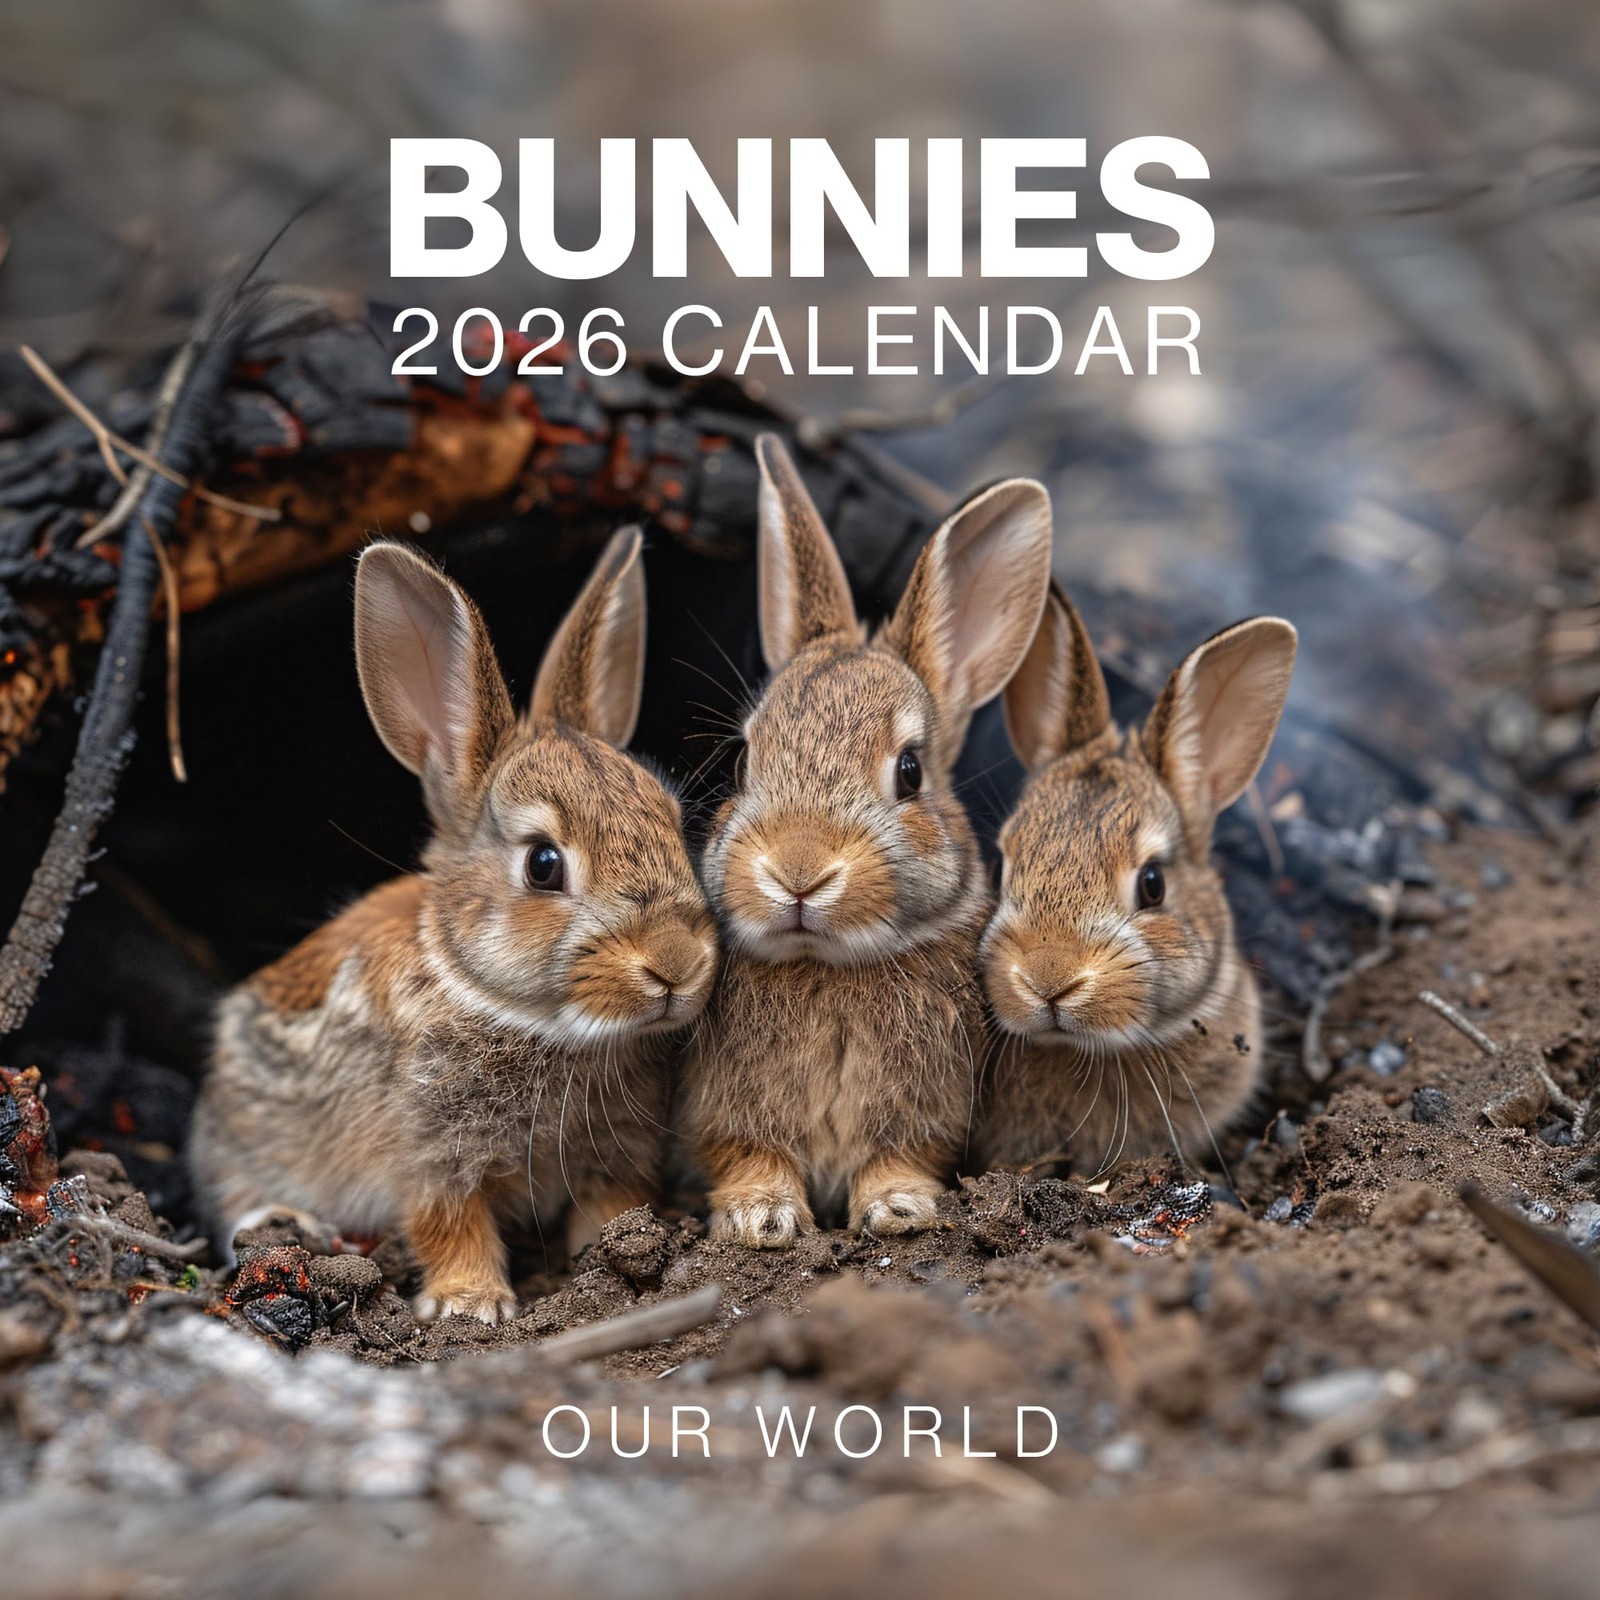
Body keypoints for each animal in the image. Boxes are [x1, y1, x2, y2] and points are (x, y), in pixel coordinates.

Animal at [189, 527, 718, 1323]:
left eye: (674, 823)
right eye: (543, 865)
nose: (676, 965)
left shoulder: (614, 1149)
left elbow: (612, 1207)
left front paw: (616, 1260)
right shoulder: (434, 1156)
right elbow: (449, 1223)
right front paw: (472, 1306)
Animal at [681, 434, 1054, 1247]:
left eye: (909, 771)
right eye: (743, 761)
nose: (798, 871)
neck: (828, 965)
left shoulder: (925, 1112)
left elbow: (899, 1158)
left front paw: (900, 1211)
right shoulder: (724, 1115)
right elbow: (746, 1154)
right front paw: (761, 1219)